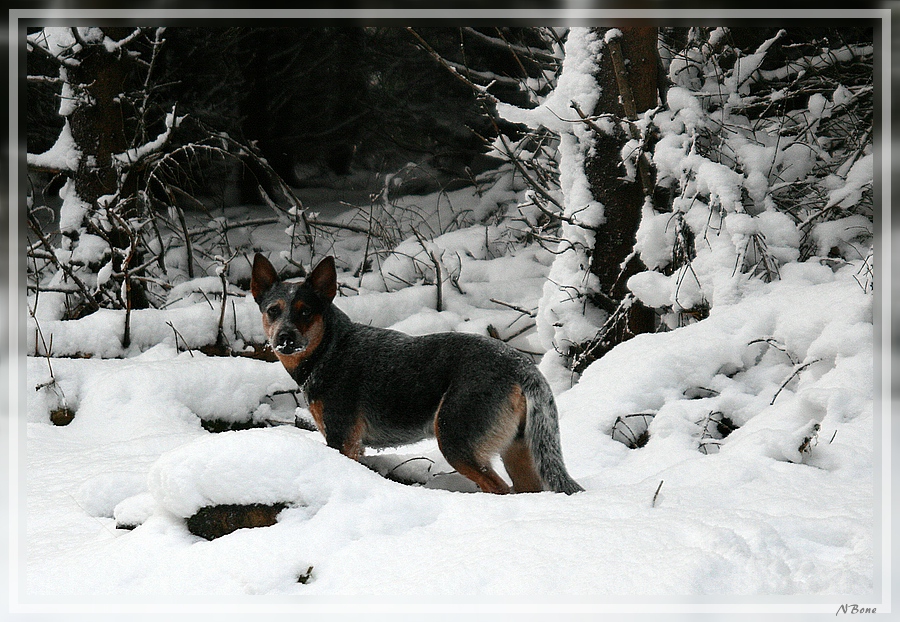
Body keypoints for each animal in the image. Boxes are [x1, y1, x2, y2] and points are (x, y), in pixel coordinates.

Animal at [251, 255, 584, 498]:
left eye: (306, 311)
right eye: (272, 310)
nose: (284, 338)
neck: (329, 350)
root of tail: (522, 366)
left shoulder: (342, 438)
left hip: (455, 438)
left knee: (499, 488)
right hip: (520, 449)